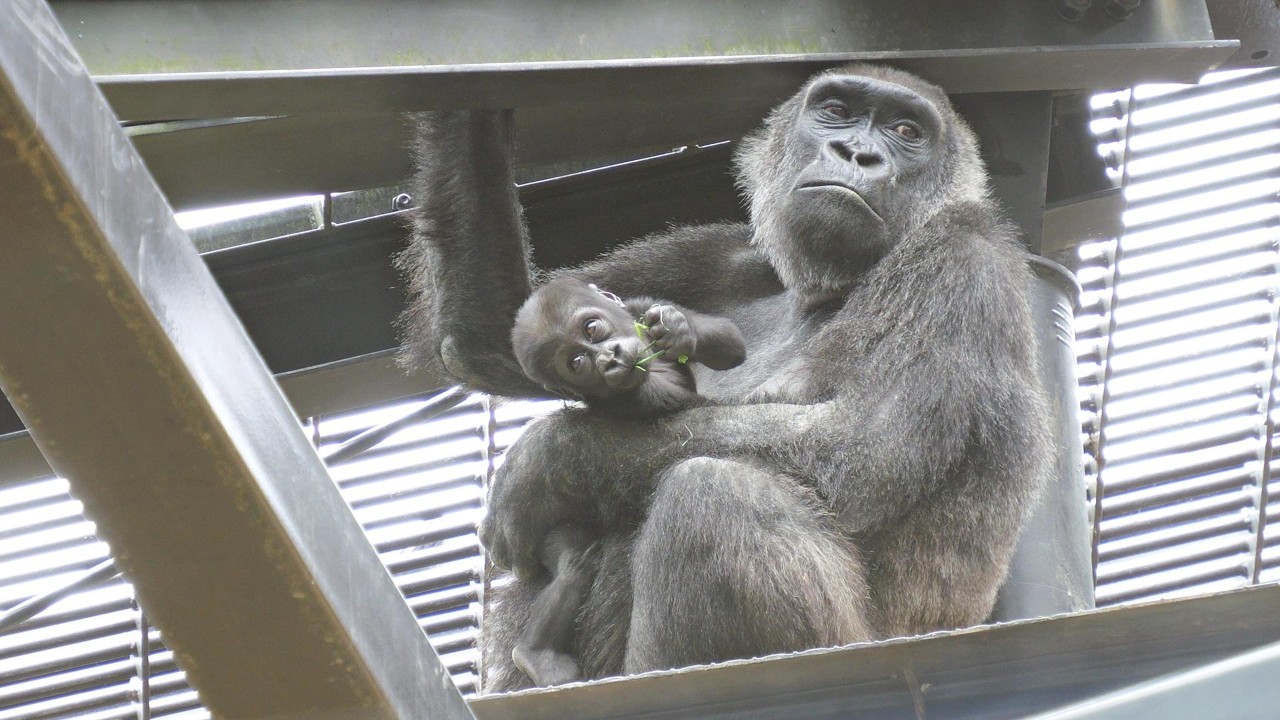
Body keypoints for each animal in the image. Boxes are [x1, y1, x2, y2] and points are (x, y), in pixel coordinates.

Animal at [507, 276, 746, 685]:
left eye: (592, 329)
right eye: (576, 363)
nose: (609, 358)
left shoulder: (638, 305)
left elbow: (730, 344)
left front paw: (679, 327)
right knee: (572, 567)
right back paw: (535, 654)